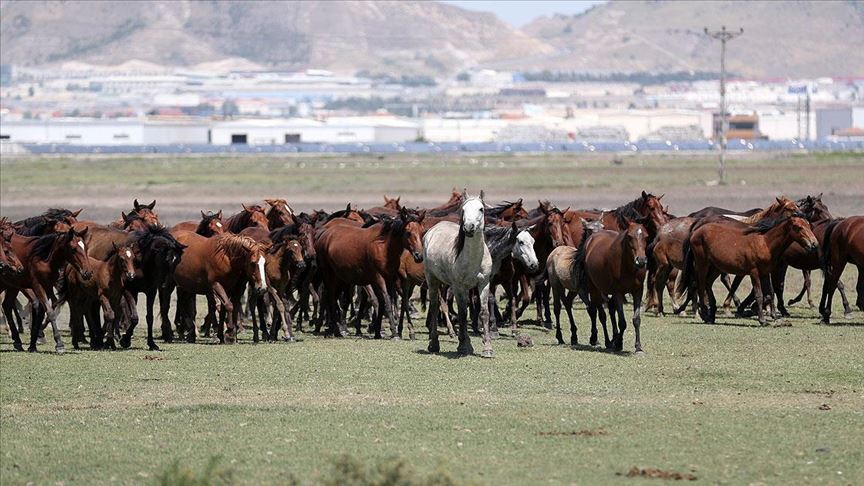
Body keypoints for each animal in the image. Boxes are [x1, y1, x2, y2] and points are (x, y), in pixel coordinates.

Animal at [318, 208, 426, 338]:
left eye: (422, 232)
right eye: (408, 232)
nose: (419, 256)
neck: (384, 246)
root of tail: (324, 234)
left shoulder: (389, 279)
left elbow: (385, 302)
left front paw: (378, 332)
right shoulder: (379, 278)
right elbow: (386, 302)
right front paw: (394, 333)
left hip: (340, 278)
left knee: (333, 297)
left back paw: (334, 329)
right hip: (329, 275)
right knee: (329, 297)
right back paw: (334, 330)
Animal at [424, 190, 492, 356]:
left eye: (481, 209)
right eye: (463, 210)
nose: (468, 227)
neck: (473, 259)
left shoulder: (484, 283)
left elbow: (484, 313)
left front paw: (487, 348)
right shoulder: (458, 287)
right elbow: (461, 314)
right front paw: (463, 346)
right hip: (432, 279)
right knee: (434, 306)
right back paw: (434, 344)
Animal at [552, 218, 604, 348]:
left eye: (603, 227)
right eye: (590, 229)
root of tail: (556, 250)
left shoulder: (595, 291)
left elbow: (596, 309)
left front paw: (595, 339)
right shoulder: (582, 291)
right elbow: (591, 310)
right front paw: (593, 339)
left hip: (572, 290)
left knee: (568, 303)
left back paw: (574, 337)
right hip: (556, 286)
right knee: (557, 308)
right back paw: (560, 338)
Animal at [572, 218, 648, 352]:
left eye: (646, 236)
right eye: (629, 236)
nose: (641, 260)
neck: (628, 266)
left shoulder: (638, 291)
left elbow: (636, 319)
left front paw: (638, 347)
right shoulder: (618, 292)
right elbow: (622, 322)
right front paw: (617, 343)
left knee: (610, 310)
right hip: (595, 289)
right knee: (599, 313)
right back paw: (604, 341)